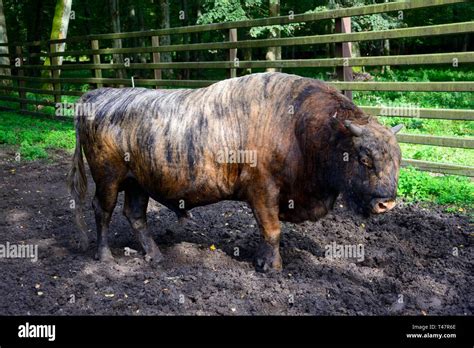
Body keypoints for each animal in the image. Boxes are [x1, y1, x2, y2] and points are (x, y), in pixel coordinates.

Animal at [67, 72, 400, 272]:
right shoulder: (262, 192)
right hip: (109, 179)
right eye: (364, 158)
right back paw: (105, 256)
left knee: (135, 215)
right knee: (102, 210)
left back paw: (156, 255)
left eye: (397, 159)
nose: (387, 202)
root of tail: (94, 96)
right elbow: (272, 229)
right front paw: (271, 266)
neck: (299, 127)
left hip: (138, 183)